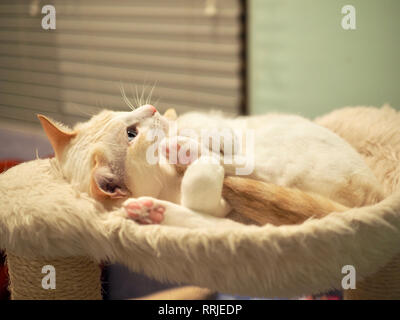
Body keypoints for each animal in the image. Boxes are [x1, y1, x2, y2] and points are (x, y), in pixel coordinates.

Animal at [38, 103, 384, 228]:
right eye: (131, 134)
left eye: (121, 115)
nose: (152, 108)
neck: (167, 180)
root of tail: (375, 195)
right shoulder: (220, 208)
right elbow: (201, 196)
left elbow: (208, 136)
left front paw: (188, 146)